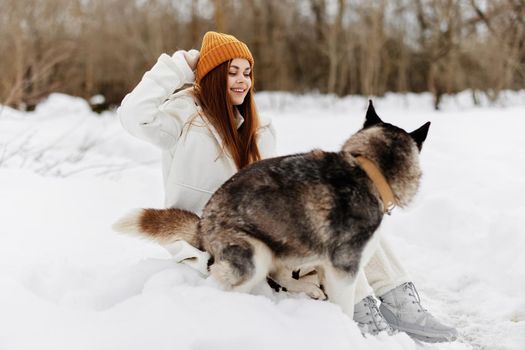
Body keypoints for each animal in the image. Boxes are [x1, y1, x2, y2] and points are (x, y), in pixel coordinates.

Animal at [112, 101, 428, 318]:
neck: (367, 170)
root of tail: (203, 223)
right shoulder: (344, 269)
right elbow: (346, 309)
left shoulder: (325, 264)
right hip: (256, 254)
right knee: (229, 282)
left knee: (280, 275)